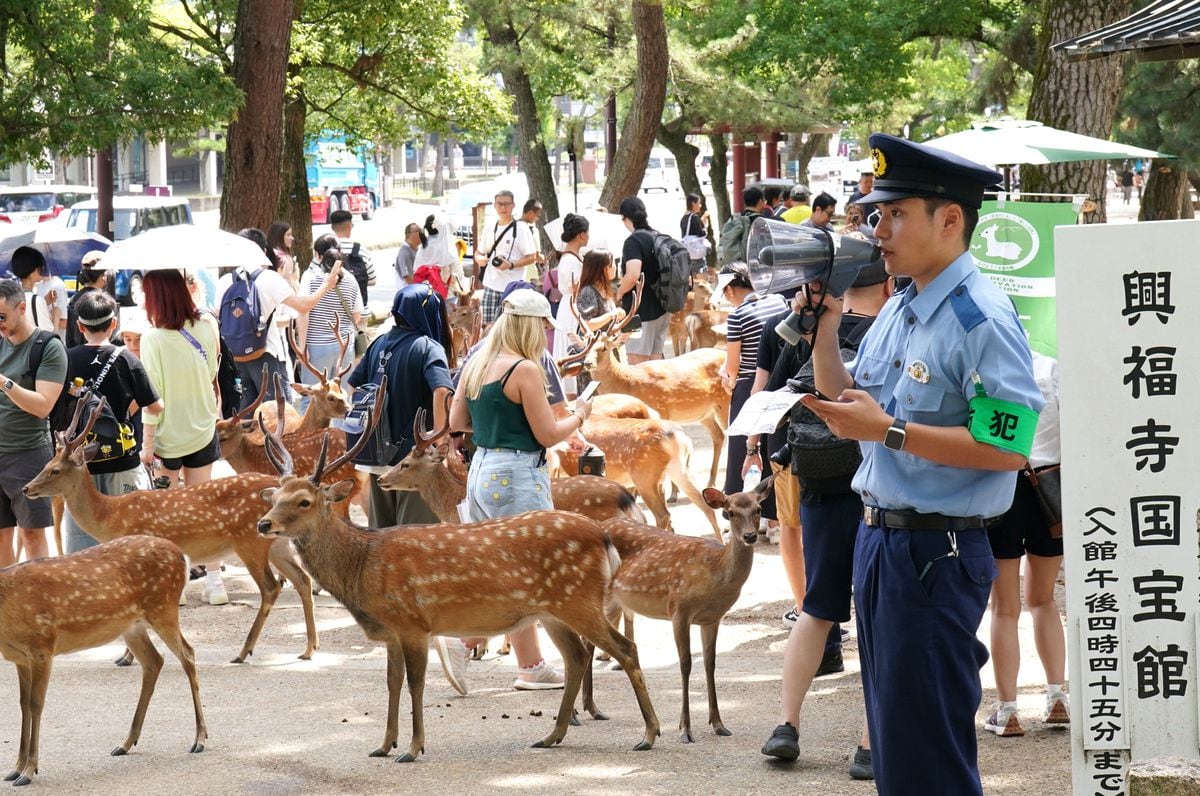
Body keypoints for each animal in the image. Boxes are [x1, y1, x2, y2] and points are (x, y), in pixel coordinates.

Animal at [0, 535, 207, 782]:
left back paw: (199, 739)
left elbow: (35, 704)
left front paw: (29, 770)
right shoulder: (20, 657)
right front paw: (15, 768)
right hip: (132, 625)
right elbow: (23, 704)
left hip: (163, 608)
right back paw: (125, 743)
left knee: (188, 654)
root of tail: (182, 555)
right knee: (154, 661)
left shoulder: (42, 646)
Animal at [25, 398, 321, 667]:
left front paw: (126, 657)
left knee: (271, 587)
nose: (27, 488)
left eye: (54, 469)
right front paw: (127, 656)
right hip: (276, 543)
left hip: (249, 541)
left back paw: (243, 651)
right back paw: (309, 648)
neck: (109, 516)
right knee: (301, 579)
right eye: (47, 463)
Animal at [585, 480, 772, 749]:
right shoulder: (679, 610)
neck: (715, 573)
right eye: (730, 512)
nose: (750, 536)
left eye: (758, 509)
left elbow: (710, 664)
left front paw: (718, 724)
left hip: (615, 602)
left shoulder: (712, 619)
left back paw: (589, 710)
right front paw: (685, 729)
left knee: (588, 642)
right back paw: (584, 711)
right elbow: (685, 665)